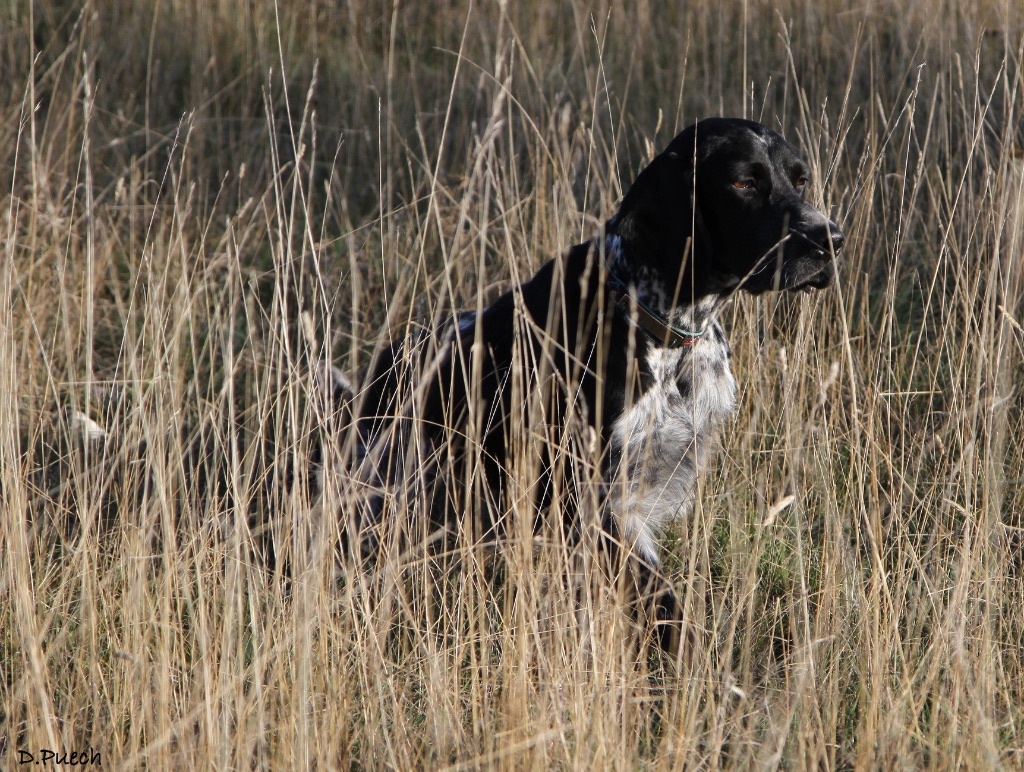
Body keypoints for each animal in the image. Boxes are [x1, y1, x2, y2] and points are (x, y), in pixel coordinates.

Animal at [329, 114, 847, 642]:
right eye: (744, 183)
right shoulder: (594, 500)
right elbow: (664, 607)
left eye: (800, 179)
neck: (655, 325)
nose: (830, 240)